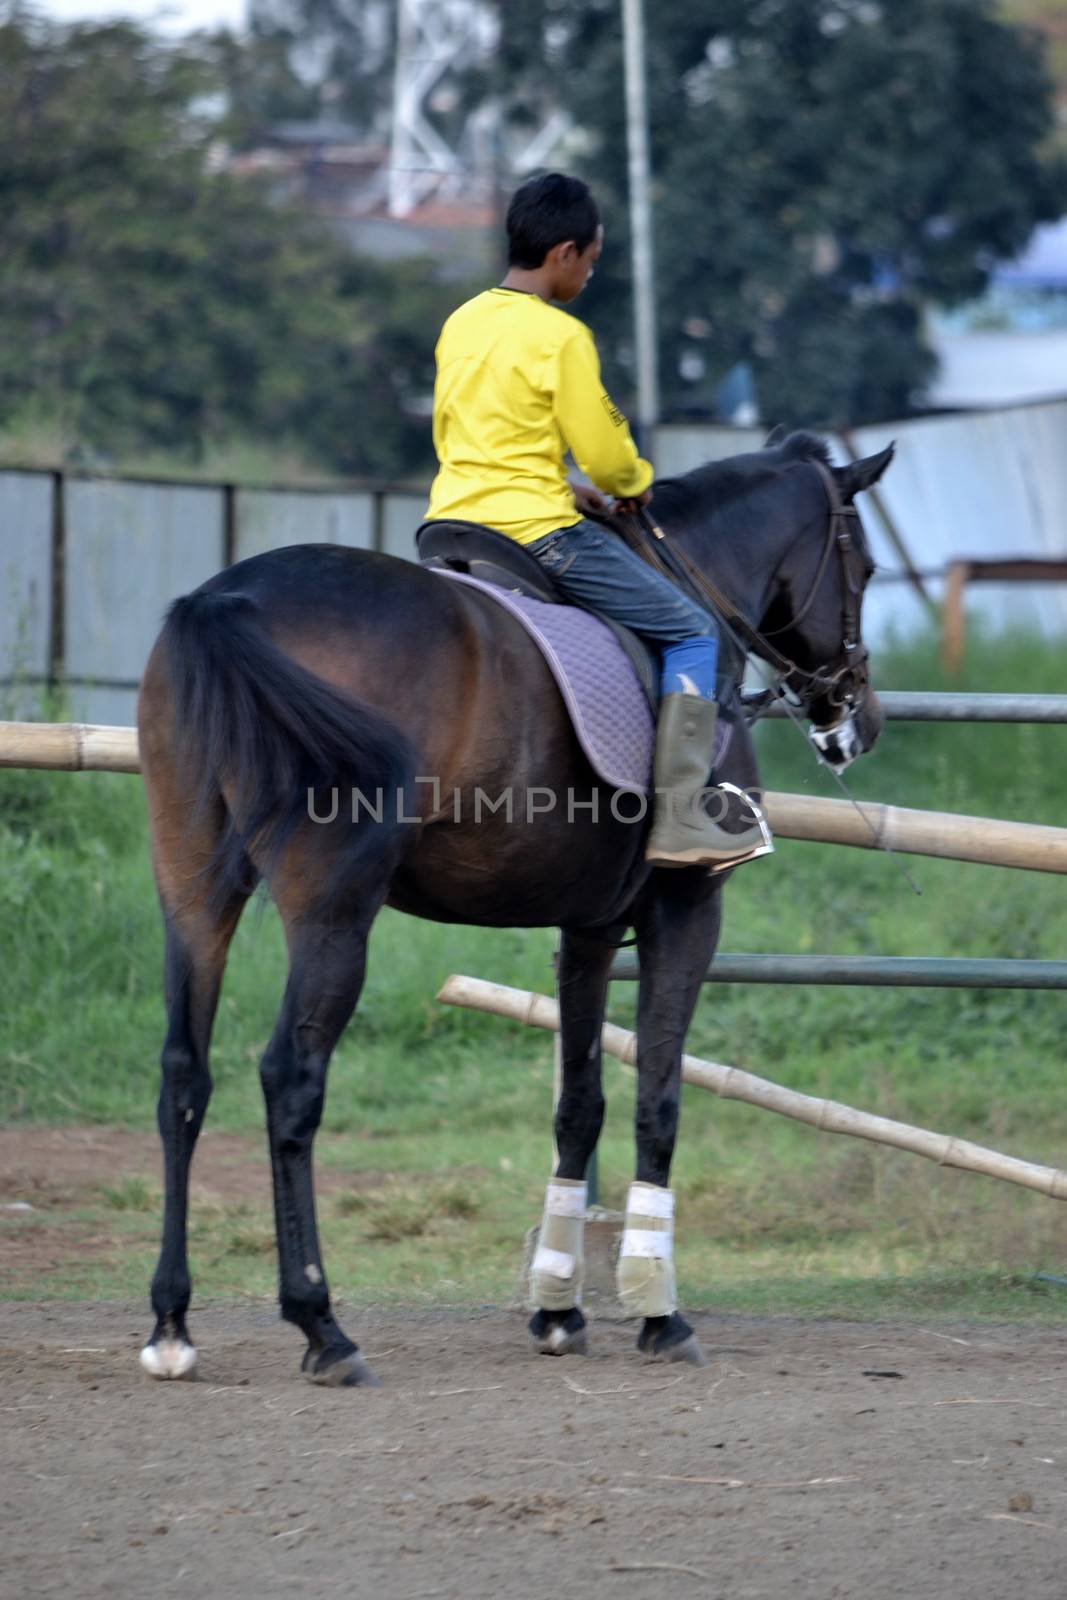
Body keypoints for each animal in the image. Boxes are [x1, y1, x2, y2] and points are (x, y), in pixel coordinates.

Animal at [137, 432, 895, 1382]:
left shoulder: (586, 928)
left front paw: (559, 1306)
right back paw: (321, 1324)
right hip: (334, 910)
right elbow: (657, 1100)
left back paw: (172, 1324)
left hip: (193, 890)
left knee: (182, 1073)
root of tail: (226, 600)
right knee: (290, 1078)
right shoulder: (684, 913)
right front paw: (657, 1310)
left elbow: (579, 1105)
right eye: (865, 567)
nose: (856, 720)